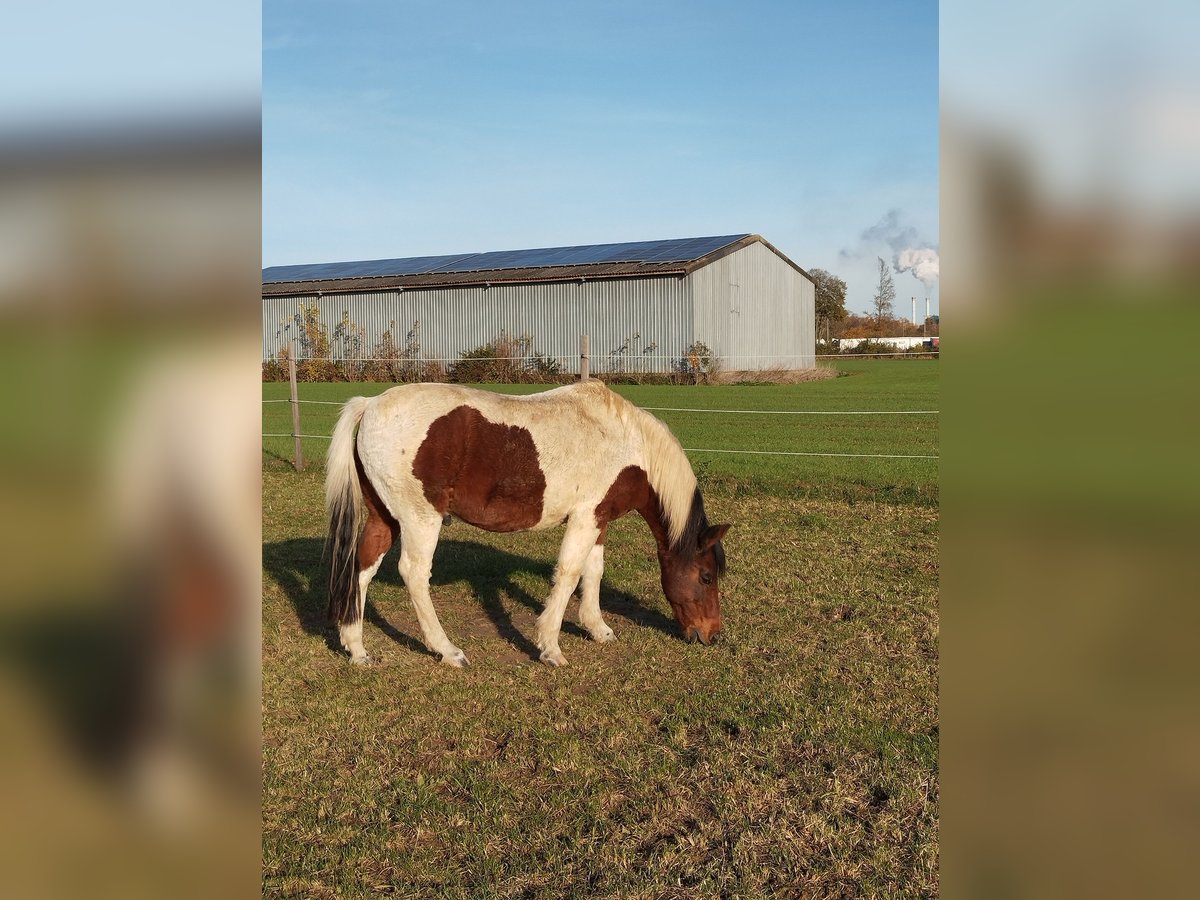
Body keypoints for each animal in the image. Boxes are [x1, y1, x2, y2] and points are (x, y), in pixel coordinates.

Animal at [324, 376, 724, 667]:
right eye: (706, 576)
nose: (713, 636)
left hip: (384, 518)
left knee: (363, 567)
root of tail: (370, 405)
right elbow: (569, 575)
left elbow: (593, 572)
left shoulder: (598, 519)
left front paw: (597, 629)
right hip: (420, 519)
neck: (626, 443)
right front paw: (550, 647)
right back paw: (447, 650)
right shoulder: (585, 518)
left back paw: (356, 649)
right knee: (415, 574)